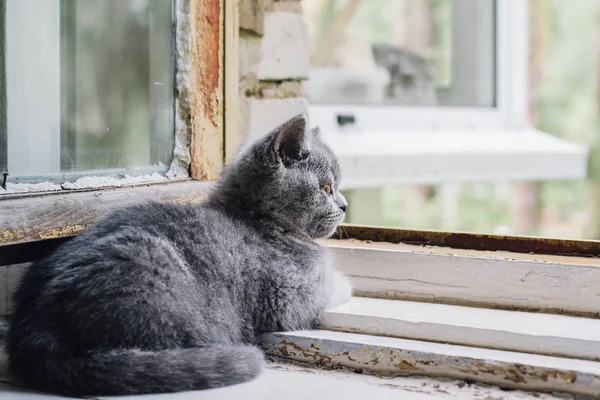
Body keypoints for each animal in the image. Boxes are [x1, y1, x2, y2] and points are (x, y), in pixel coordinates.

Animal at [5, 115, 352, 396]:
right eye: (325, 188)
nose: (345, 205)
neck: (259, 220)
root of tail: (36, 332)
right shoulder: (287, 296)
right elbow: (329, 287)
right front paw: (346, 283)